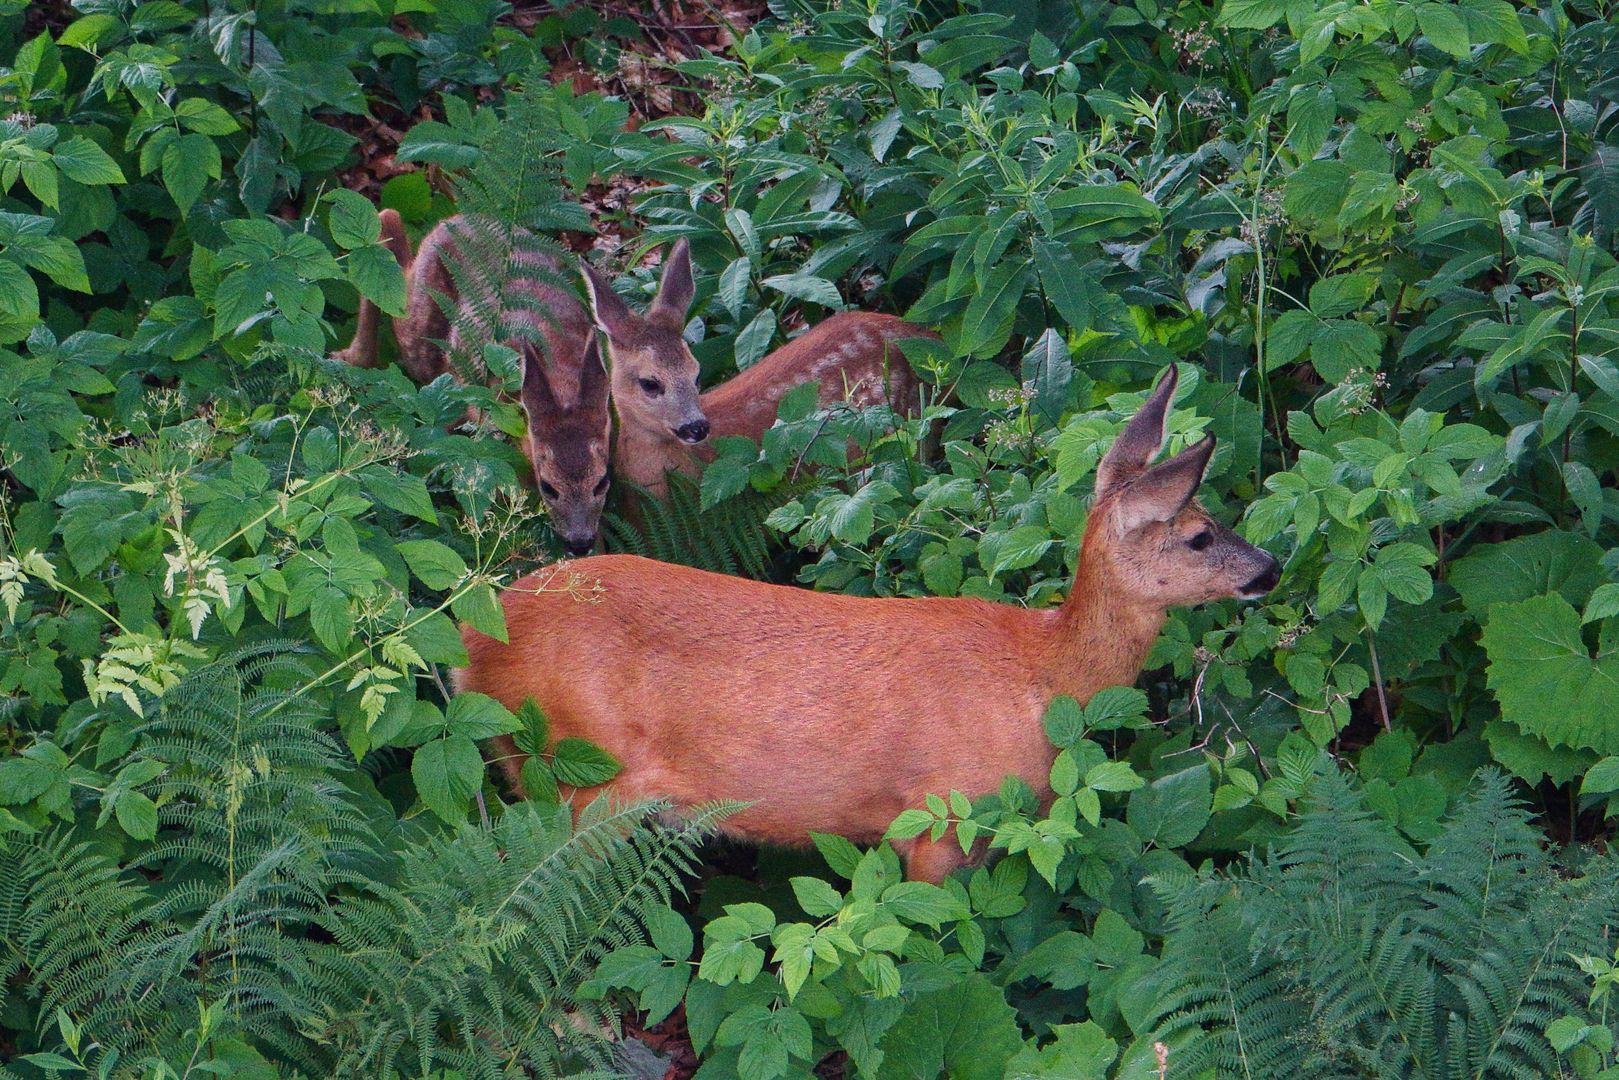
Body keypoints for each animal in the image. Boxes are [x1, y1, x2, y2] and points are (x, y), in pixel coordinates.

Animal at [338, 208, 615, 557]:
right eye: (548, 487)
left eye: (602, 482)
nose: (579, 543)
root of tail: (455, 219)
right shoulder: (494, 428)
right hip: (418, 333)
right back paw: (352, 356)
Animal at [453, 367, 1275, 880]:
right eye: (1198, 534)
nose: (1268, 566)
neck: (1045, 676)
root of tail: (468, 647)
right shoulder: (940, 817)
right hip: (579, 778)